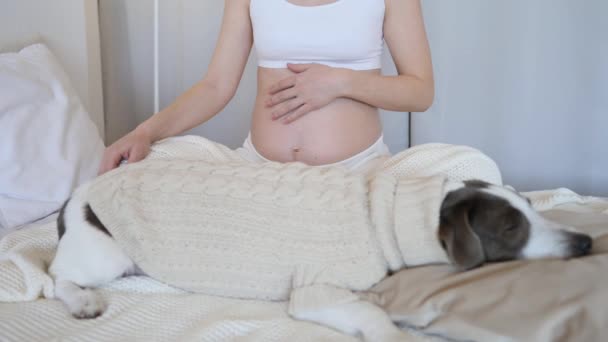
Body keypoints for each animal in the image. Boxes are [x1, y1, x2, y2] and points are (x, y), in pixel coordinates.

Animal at [48, 160, 592, 342]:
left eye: (529, 206)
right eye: (510, 227)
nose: (587, 242)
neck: (392, 213)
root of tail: (78, 194)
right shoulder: (313, 289)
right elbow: (371, 314)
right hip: (106, 254)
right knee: (56, 276)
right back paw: (81, 300)